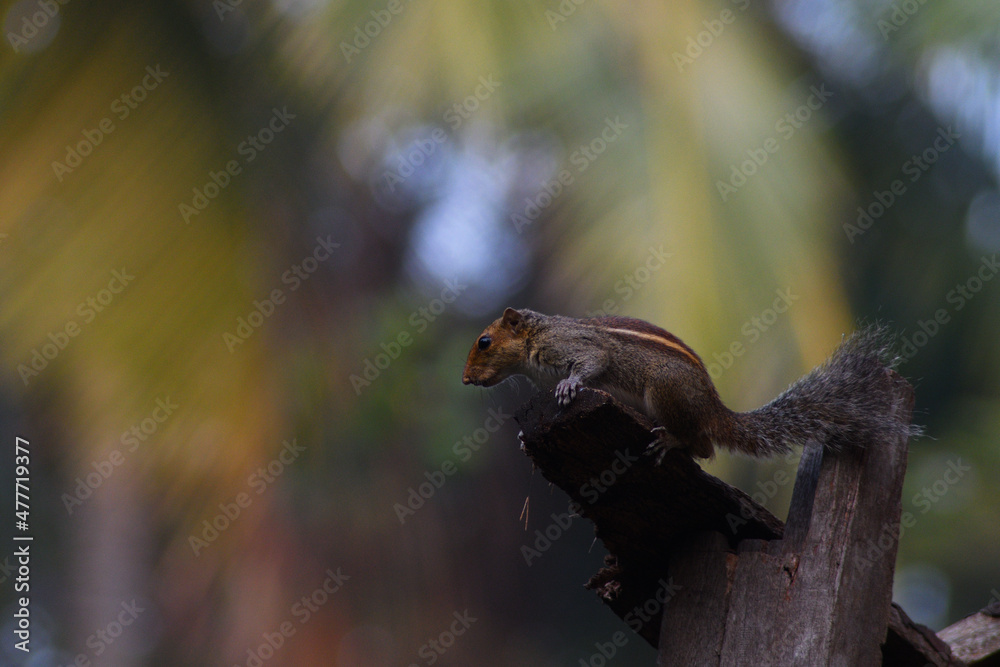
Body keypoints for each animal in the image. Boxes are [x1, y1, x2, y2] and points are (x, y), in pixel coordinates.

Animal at [460, 310, 916, 460]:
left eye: (484, 342)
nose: (464, 379)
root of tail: (716, 409)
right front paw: (524, 440)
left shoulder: (574, 345)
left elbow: (594, 362)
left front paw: (570, 386)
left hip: (665, 391)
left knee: (704, 446)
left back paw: (672, 441)